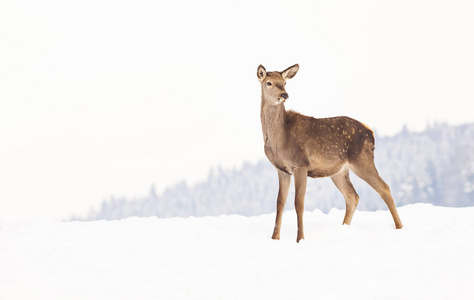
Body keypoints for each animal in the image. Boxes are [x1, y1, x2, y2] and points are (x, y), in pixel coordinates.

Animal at [258, 64, 406, 243]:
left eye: (285, 82)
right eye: (269, 83)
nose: (284, 95)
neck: (279, 140)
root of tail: (370, 132)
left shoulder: (301, 164)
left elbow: (299, 202)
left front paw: (300, 239)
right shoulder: (281, 169)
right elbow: (280, 202)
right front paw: (274, 238)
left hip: (362, 159)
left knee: (384, 188)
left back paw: (400, 227)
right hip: (339, 171)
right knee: (352, 196)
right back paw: (344, 228)